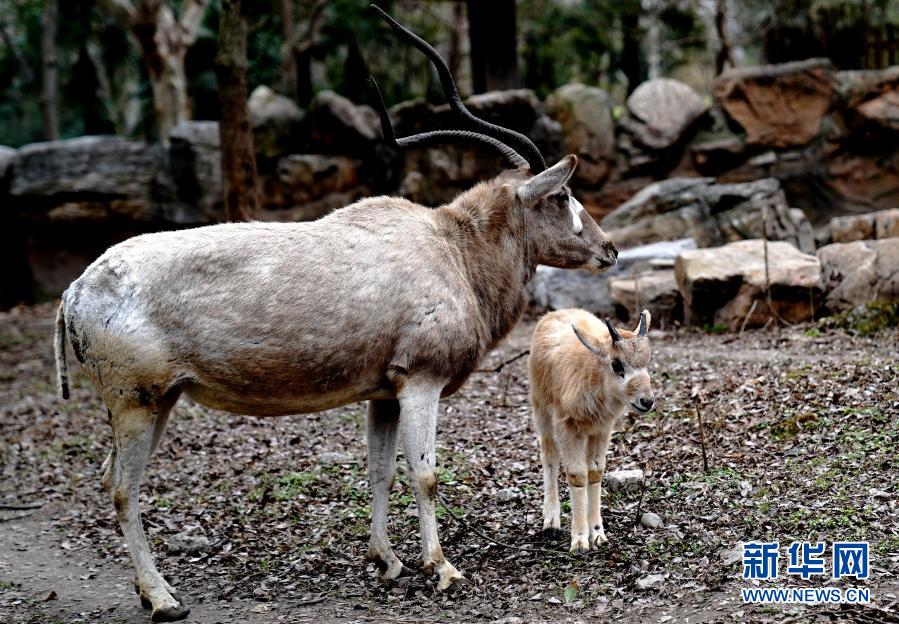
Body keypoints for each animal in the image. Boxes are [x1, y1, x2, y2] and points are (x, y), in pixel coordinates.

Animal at [54, 7, 620, 620]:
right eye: (561, 198)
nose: (609, 249)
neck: (454, 248)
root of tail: (75, 290)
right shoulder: (421, 381)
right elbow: (424, 474)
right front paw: (441, 568)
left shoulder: (385, 391)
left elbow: (380, 471)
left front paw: (387, 561)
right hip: (136, 401)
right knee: (122, 487)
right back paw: (162, 598)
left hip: (160, 401)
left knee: (110, 477)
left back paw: (147, 590)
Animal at [528, 308, 652, 552]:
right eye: (617, 364)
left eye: (648, 360)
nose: (647, 401)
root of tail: (553, 314)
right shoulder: (567, 427)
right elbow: (577, 475)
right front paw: (579, 540)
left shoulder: (601, 429)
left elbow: (595, 472)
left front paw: (597, 534)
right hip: (541, 410)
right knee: (549, 455)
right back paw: (551, 519)